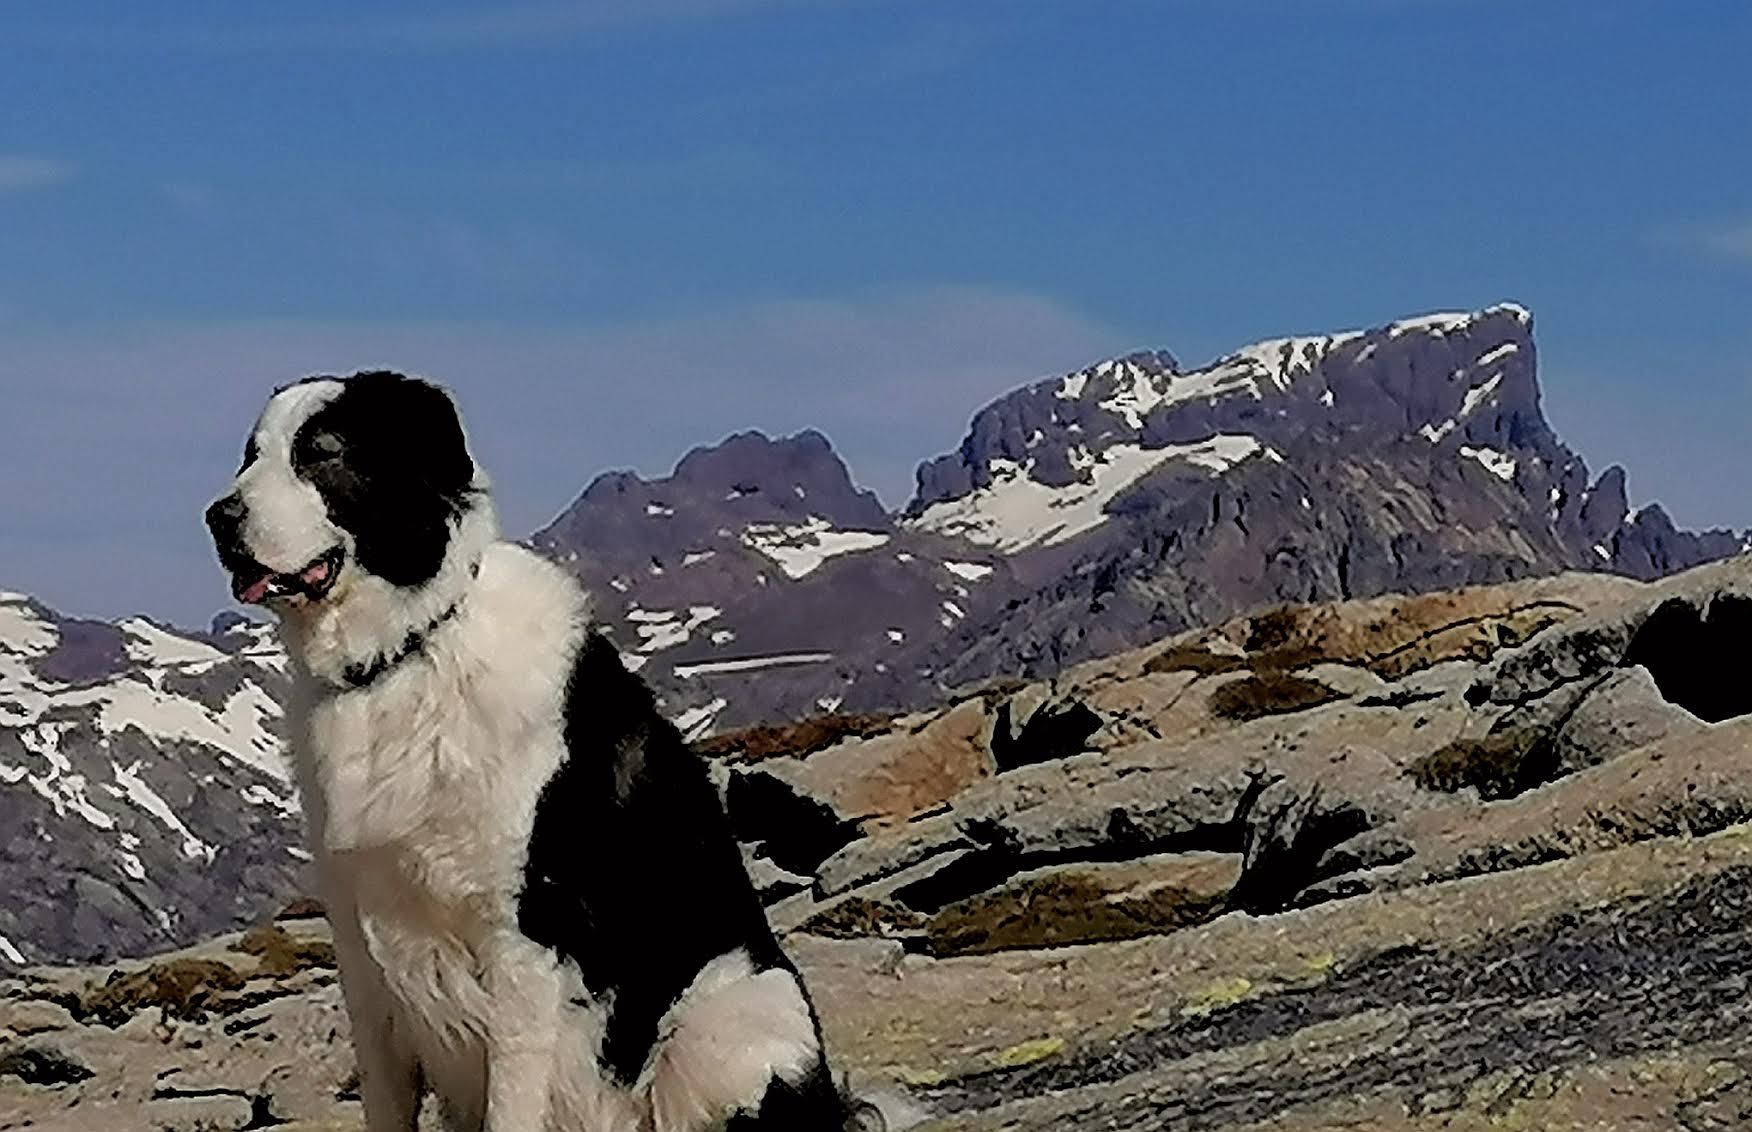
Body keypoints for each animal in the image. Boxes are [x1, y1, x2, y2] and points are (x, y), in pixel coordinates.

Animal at [204, 376, 854, 1128]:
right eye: (252, 456)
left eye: (320, 454)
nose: (218, 517)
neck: (409, 650)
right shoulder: (363, 952)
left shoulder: (524, 939)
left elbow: (511, 1099)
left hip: (732, 1011)